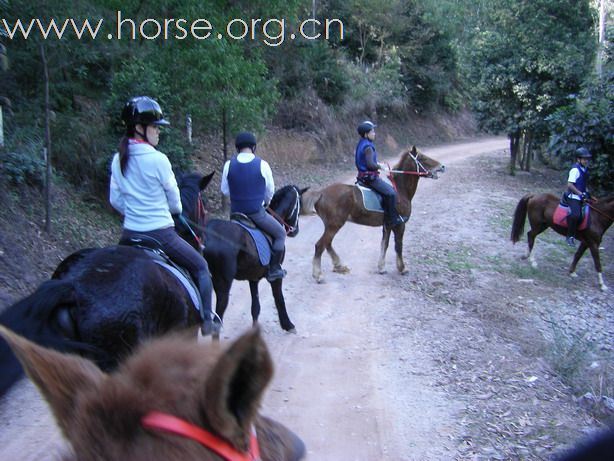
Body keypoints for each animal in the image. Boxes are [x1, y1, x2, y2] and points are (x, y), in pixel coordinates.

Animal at [200, 184, 310, 334]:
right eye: (300, 204)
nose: (295, 231)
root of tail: (207, 236)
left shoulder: (253, 277)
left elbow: (255, 307)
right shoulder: (276, 277)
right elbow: (279, 299)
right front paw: (288, 324)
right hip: (223, 285)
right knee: (217, 319)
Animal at [306, 146, 446, 282]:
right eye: (422, 158)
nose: (442, 167)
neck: (400, 191)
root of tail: (321, 193)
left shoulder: (387, 225)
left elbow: (384, 244)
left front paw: (381, 268)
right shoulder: (399, 225)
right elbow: (398, 246)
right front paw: (402, 268)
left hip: (331, 225)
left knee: (327, 244)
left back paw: (339, 266)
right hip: (334, 225)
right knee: (320, 245)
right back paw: (318, 275)